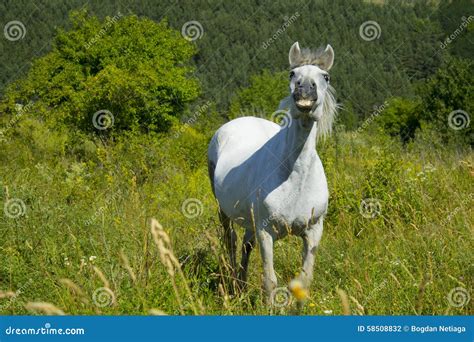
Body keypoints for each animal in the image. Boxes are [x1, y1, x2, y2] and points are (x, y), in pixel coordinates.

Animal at [208, 41, 336, 300]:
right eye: (292, 73)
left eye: (325, 76)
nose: (304, 92)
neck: (295, 178)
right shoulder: (266, 232)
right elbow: (270, 281)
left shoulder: (314, 231)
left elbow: (304, 281)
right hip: (224, 211)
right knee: (231, 241)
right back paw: (233, 284)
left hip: (249, 220)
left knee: (246, 245)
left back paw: (241, 284)